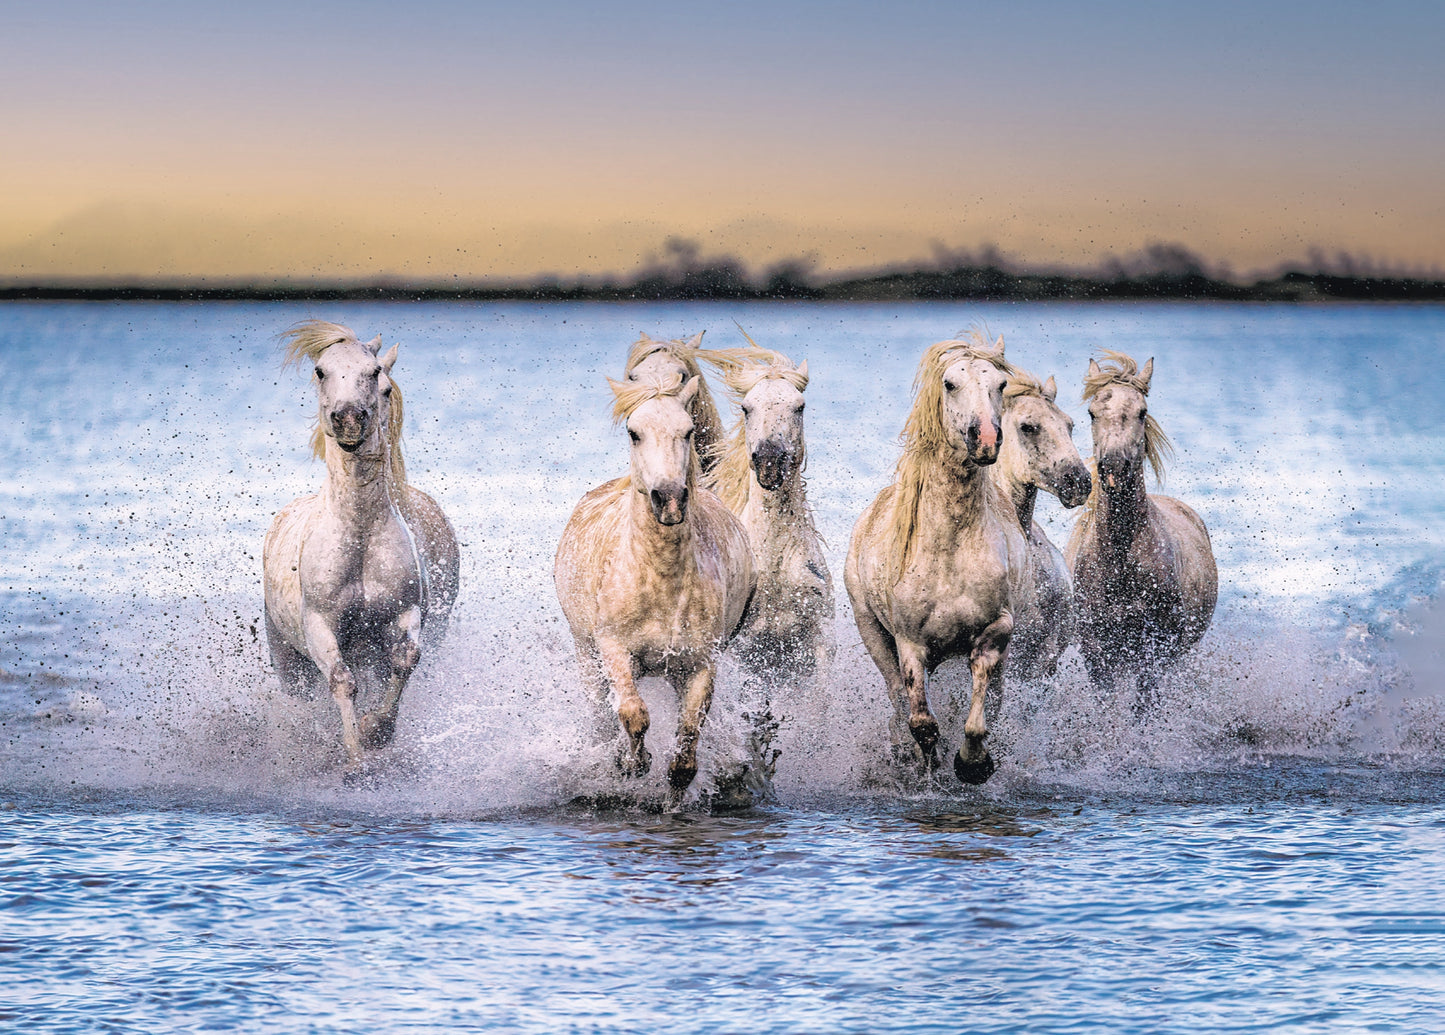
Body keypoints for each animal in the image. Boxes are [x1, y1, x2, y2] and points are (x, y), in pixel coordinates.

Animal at [263, 321, 460, 765]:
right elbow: (341, 681)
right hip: (288, 661)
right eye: (320, 371)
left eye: (375, 376)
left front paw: (376, 730)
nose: (350, 419)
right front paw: (354, 758)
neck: (360, 535)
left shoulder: (402, 614)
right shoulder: (320, 626)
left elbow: (404, 661)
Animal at [553, 372, 755, 797]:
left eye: (688, 430)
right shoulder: (613, 647)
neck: (659, 579)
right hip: (586, 654)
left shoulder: (700, 664)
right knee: (601, 714)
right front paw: (634, 764)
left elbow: (686, 750)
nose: (670, 498)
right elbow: (633, 713)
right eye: (634, 433)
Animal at [844, 333, 1026, 784]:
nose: (985, 438)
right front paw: (927, 768)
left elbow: (977, 718)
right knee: (896, 696)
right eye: (950, 383)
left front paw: (973, 765)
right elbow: (922, 723)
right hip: (872, 630)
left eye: (1000, 384)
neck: (950, 547)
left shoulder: (996, 629)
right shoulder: (910, 642)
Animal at [1065, 350, 1217, 707]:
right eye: (1092, 413)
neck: (1120, 561)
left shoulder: (1154, 650)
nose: (1113, 465)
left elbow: (1143, 707)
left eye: (1142, 411)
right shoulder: (1098, 653)